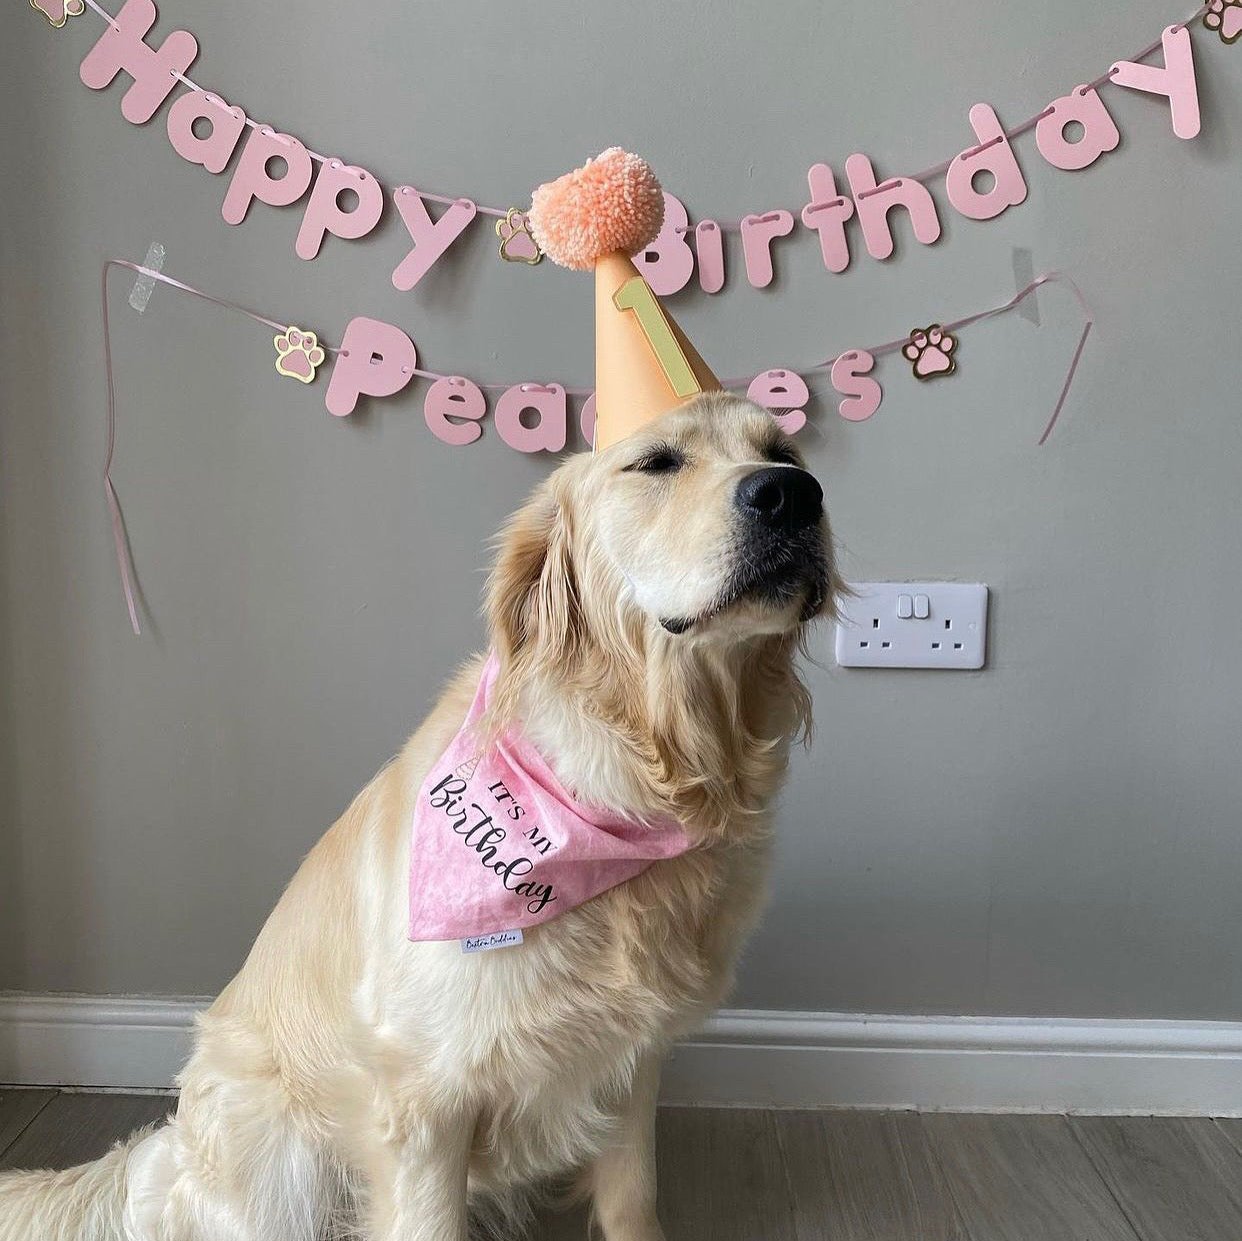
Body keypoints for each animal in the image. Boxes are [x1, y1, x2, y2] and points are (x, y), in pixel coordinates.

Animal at [0, 395, 839, 1241]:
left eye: (786, 452)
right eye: (659, 462)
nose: (792, 495)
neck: (643, 777)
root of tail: (167, 1156)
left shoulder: (632, 1064)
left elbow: (633, 1199)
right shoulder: (425, 1098)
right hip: (278, 1161)